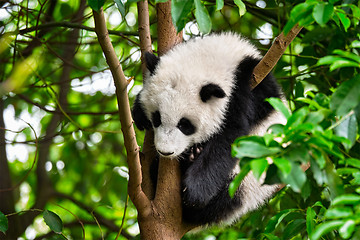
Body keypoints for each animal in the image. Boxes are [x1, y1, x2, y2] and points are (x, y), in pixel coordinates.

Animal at [132, 32, 286, 226]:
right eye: (157, 118)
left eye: (185, 125)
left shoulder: (247, 89)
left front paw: (194, 191)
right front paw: (139, 112)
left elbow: (230, 138)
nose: (165, 152)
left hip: (250, 177)